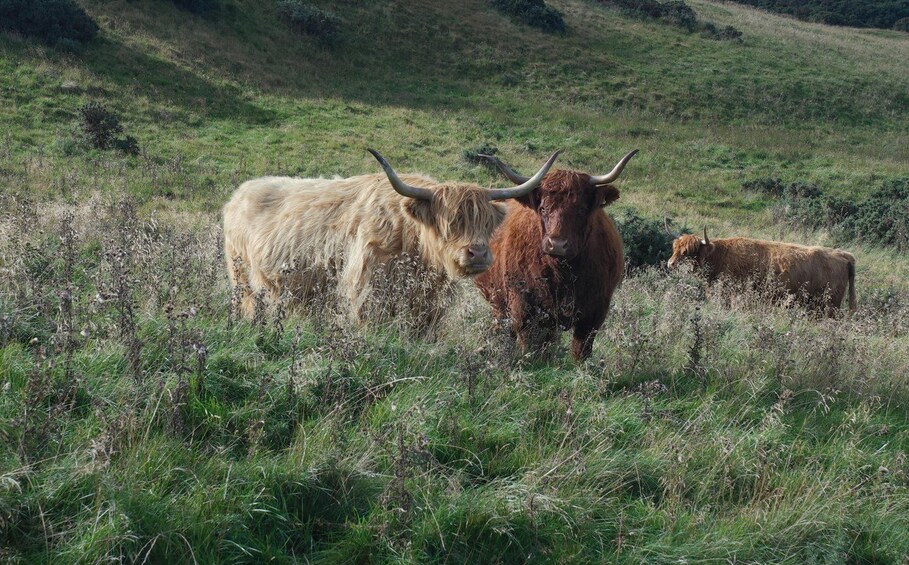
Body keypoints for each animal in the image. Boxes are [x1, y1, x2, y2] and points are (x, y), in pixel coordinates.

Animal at [222, 149, 560, 331]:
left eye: (485, 223)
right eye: (449, 223)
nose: (477, 254)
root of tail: (237, 195)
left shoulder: (429, 305)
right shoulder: (366, 292)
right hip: (243, 281)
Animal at [475, 150, 638, 362]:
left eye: (581, 209)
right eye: (543, 208)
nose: (557, 244)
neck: (563, 273)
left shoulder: (594, 314)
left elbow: (580, 351)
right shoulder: (522, 307)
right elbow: (527, 345)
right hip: (497, 302)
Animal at [664, 224, 857, 314]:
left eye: (688, 252)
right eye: (675, 248)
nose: (670, 264)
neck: (720, 256)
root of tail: (843, 254)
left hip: (829, 305)